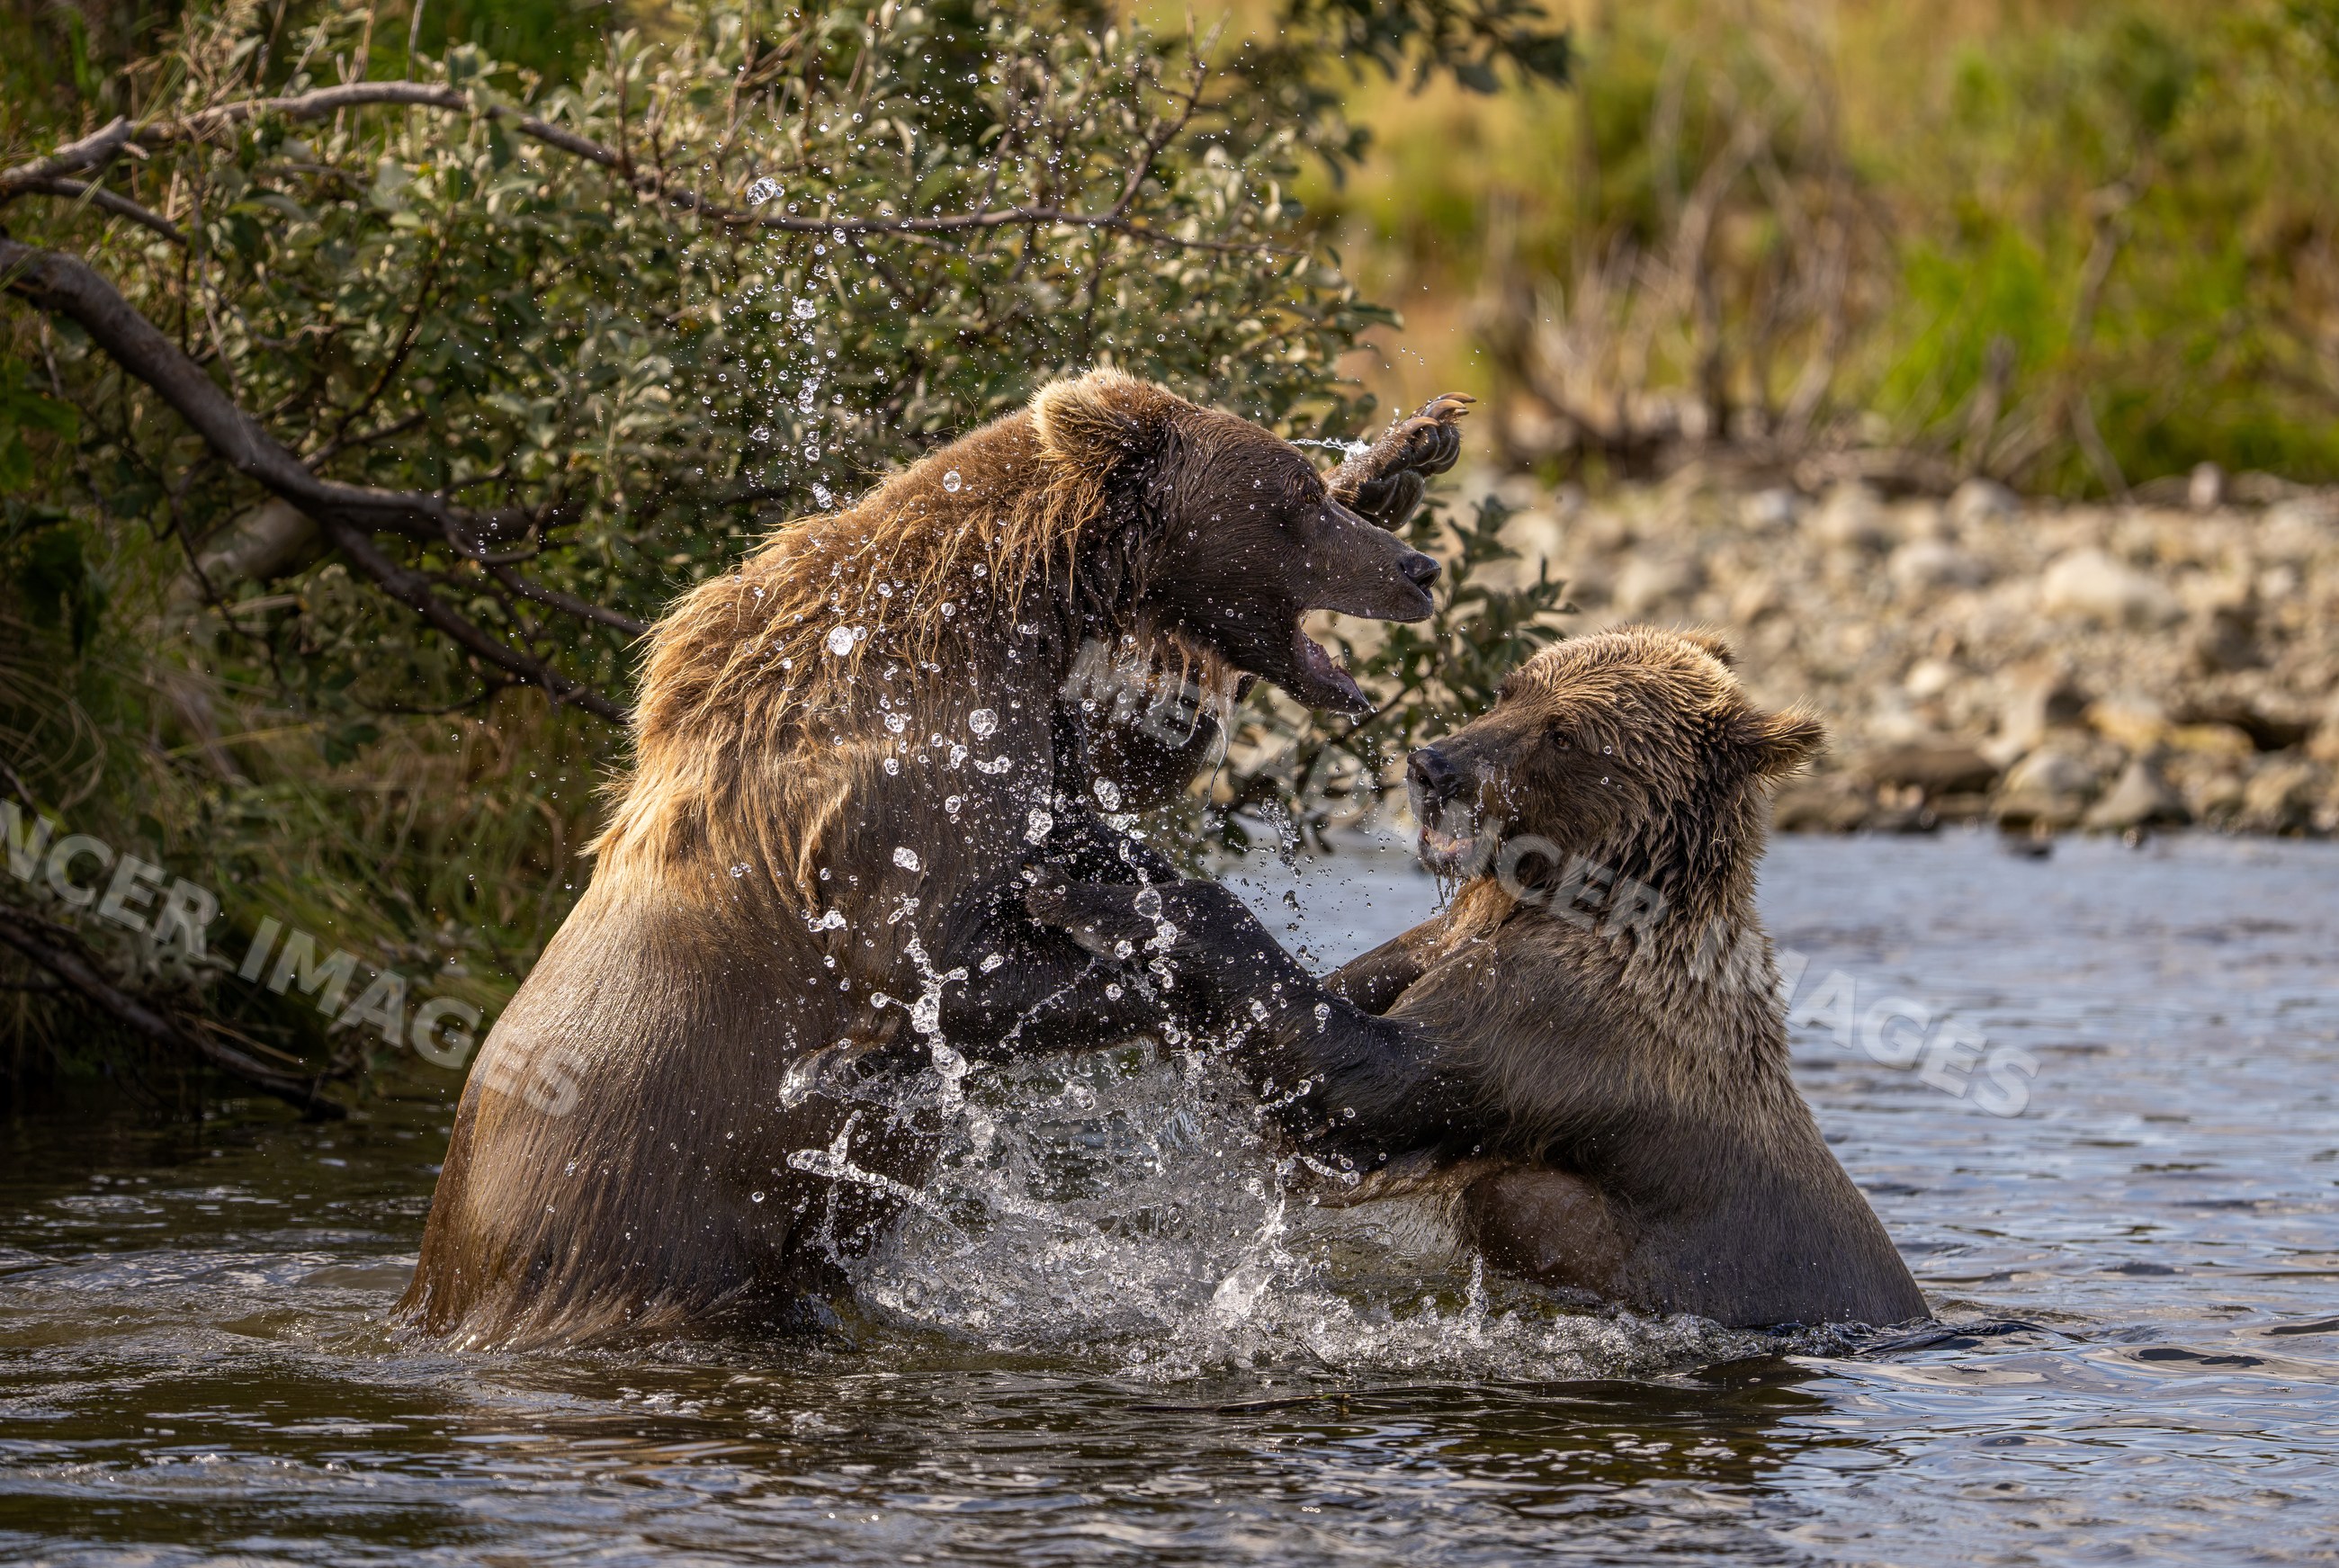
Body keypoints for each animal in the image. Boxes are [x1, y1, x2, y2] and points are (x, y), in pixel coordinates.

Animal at [395, 369, 1467, 1348]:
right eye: (1294, 498)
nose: (1416, 568)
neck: (1003, 621)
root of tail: (442, 1290)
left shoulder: (1029, 753)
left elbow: (1101, 813)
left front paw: (1407, 449)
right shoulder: (881, 806)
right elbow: (941, 969)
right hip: (628, 1216)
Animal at [1024, 626, 1929, 1329]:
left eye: (1566, 733)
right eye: (1511, 686)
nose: (1432, 765)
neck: (1568, 903)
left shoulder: (1558, 1022)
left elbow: (1359, 1088)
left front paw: (1102, 897)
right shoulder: (1447, 946)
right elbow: (1343, 1003)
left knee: (1511, 1197)